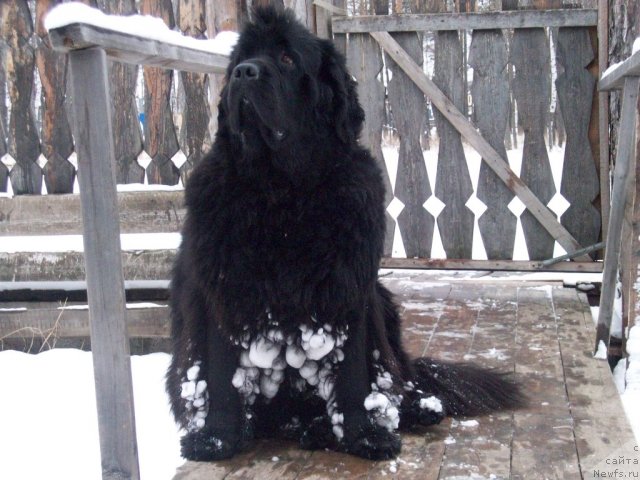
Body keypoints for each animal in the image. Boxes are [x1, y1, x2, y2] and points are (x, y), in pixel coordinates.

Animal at [168, 4, 524, 462]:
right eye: (240, 60)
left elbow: (354, 373)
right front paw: (215, 438)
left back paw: (411, 409)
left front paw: (364, 434)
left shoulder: (348, 287)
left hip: (385, 306)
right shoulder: (223, 289)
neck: (281, 193)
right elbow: (221, 374)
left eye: (287, 59)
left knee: (399, 377)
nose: (245, 73)